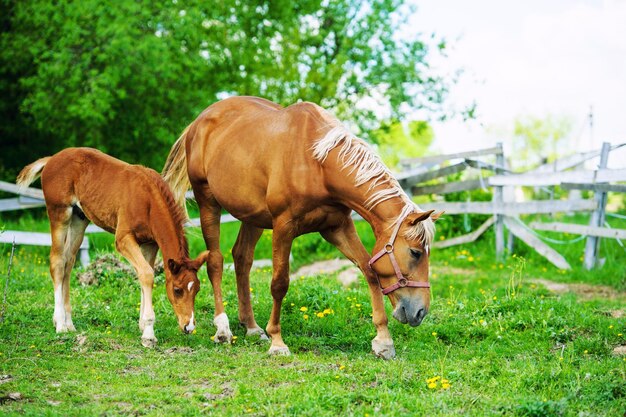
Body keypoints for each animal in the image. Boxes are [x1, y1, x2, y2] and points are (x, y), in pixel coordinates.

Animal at [15, 148, 207, 346]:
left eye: (197, 289)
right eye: (177, 290)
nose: (188, 326)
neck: (148, 201)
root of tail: (52, 159)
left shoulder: (150, 244)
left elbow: (145, 274)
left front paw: (143, 326)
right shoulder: (123, 239)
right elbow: (147, 274)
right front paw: (148, 333)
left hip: (79, 218)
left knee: (69, 262)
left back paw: (69, 324)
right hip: (59, 212)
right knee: (58, 262)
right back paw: (60, 324)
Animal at [163, 96, 442, 358]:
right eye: (416, 252)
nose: (420, 311)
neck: (318, 164)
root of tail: (198, 123)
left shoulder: (337, 227)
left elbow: (369, 270)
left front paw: (383, 340)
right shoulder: (283, 226)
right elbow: (279, 283)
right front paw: (277, 341)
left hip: (252, 216)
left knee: (242, 259)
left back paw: (251, 327)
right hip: (207, 202)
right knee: (216, 262)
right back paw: (223, 329)